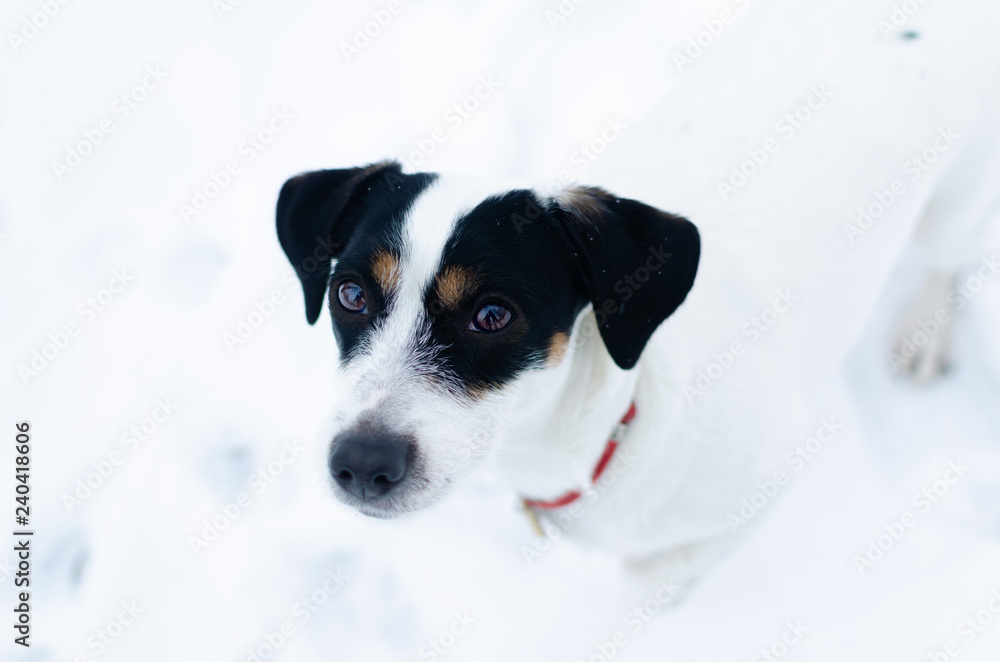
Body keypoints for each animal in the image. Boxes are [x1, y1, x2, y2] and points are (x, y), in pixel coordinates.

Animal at [276, 0, 1000, 580]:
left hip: (960, 202)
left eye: (493, 315)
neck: (610, 422)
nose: (360, 463)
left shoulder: (744, 509)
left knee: (946, 259)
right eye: (350, 295)